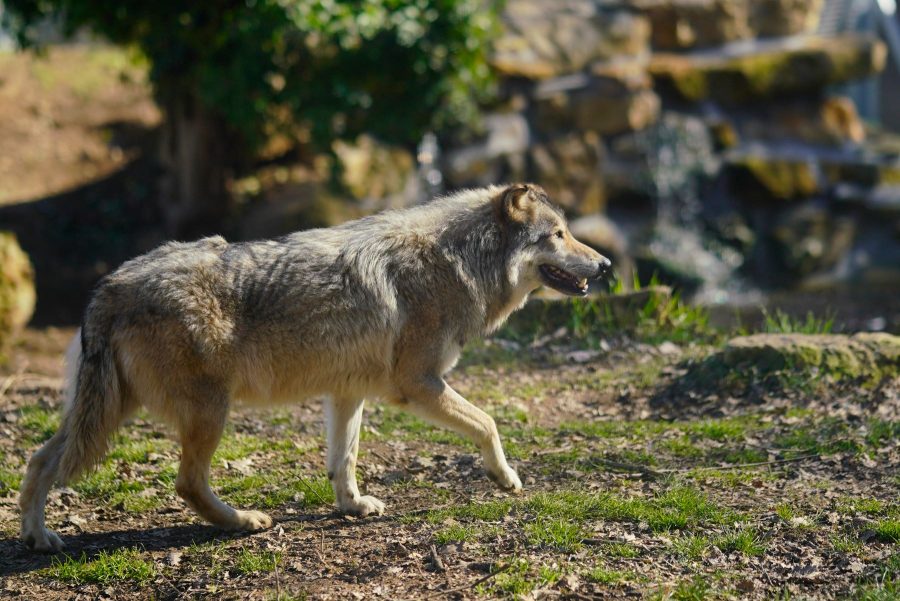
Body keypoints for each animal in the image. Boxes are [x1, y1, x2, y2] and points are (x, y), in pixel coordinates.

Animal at [19, 183, 611, 552]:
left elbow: (343, 459)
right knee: (186, 483)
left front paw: (351, 506)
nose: (605, 264)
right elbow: (488, 423)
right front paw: (505, 476)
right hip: (205, 412)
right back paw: (244, 522)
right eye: (558, 234)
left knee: (38, 460)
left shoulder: (348, 393)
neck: (459, 259)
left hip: (109, 412)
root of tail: (110, 286)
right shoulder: (417, 385)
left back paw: (37, 537)